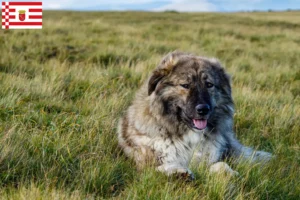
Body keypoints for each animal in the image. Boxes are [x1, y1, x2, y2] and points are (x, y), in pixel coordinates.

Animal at [117, 51, 272, 178]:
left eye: (209, 85)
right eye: (185, 85)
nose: (203, 109)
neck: (189, 136)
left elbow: (220, 165)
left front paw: (228, 173)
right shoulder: (147, 162)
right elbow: (163, 166)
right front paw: (178, 172)